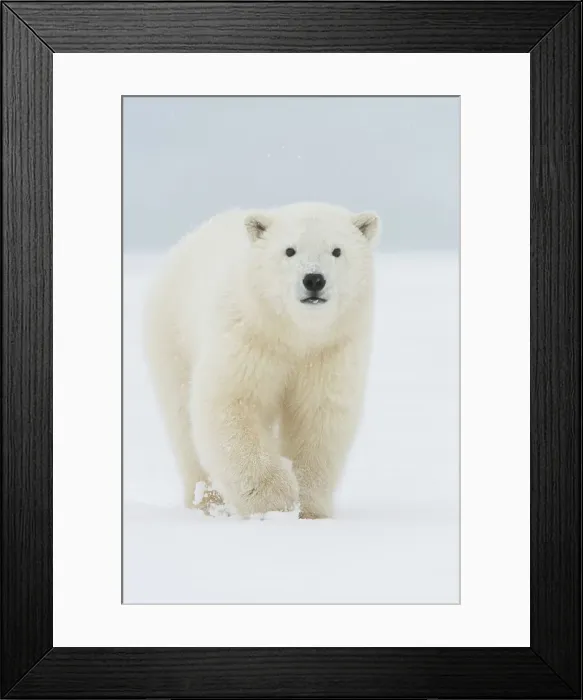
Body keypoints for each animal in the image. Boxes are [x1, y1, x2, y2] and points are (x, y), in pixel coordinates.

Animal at [143, 202, 380, 518]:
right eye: (289, 250)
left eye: (337, 250)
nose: (313, 279)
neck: (294, 334)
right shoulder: (250, 338)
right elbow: (232, 404)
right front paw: (277, 500)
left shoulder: (330, 351)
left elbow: (318, 417)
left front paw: (309, 508)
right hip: (173, 335)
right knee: (182, 419)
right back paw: (208, 502)